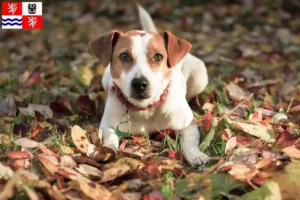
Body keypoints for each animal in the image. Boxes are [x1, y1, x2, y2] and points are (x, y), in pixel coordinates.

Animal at [90, 5, 210, 167]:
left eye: (158, 56)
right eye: (124, 56)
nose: (140, 84)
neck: (145, 108)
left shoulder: (188, 125)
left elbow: (190, 142)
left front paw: (196, 155)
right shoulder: (108, 126)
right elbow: (109, 139)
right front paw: (107, 151)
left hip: (200, 76)